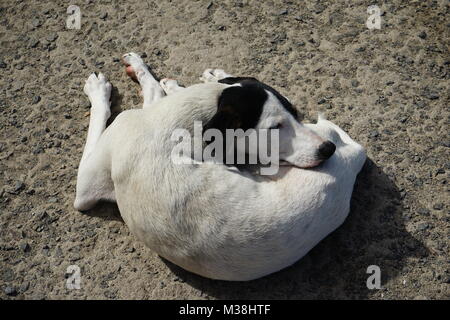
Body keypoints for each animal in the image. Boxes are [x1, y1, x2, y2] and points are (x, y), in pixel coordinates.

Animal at [74, 52, 366, 280]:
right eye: (275, 126)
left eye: (294, 112)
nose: (327, 149)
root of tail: (353, 158)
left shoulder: (85, 190)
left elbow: (121, 106)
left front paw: (100, 90)